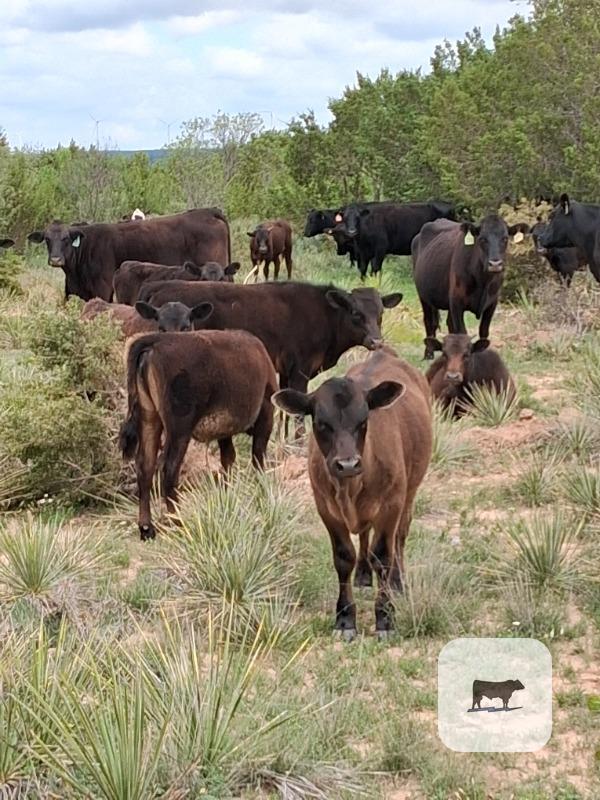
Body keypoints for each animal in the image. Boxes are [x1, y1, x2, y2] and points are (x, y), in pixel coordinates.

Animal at [27, 208, 231, 302]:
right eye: (47, 239)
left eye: (66, 239)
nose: (55, 259)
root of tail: (208, 212)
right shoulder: (73, 291)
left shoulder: (103, 289)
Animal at [119, 329, 277, 540]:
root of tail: (155, 341)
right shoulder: (265, 417)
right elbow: (257, 459)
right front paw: (263, 494)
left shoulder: (224, 432)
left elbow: (228, 459)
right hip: (179, 430)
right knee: (168, 469)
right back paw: (178, 522)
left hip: (149, 419)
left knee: (145, 466)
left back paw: (147, 529)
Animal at [139, 280, 402, 398]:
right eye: (356, 314)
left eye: (380, 314)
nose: (376, 341)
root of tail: (159, 285)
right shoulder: (300, 370)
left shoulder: (286, 370)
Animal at [272, 346, 432, 639]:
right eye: (321, 423)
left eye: (364, 420)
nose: (347, 464)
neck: (350, 488)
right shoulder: (325, 508)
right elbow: (344, 557)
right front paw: (345, 619)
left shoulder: (391, 505)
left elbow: (383, 556)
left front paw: (385, 618)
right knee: (365, 536)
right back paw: (363, 575)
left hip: (410, 492)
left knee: (399, 538)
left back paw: (397, 582)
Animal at [412, 216, 529, 359]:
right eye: (482, 239)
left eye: (505, 238)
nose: (495, 264)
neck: (483, 282)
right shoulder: (457, 302)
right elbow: (462, 332)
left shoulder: (492, 303)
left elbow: (483, 332)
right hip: (423, 296)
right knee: (429, 321)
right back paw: (428, 354)